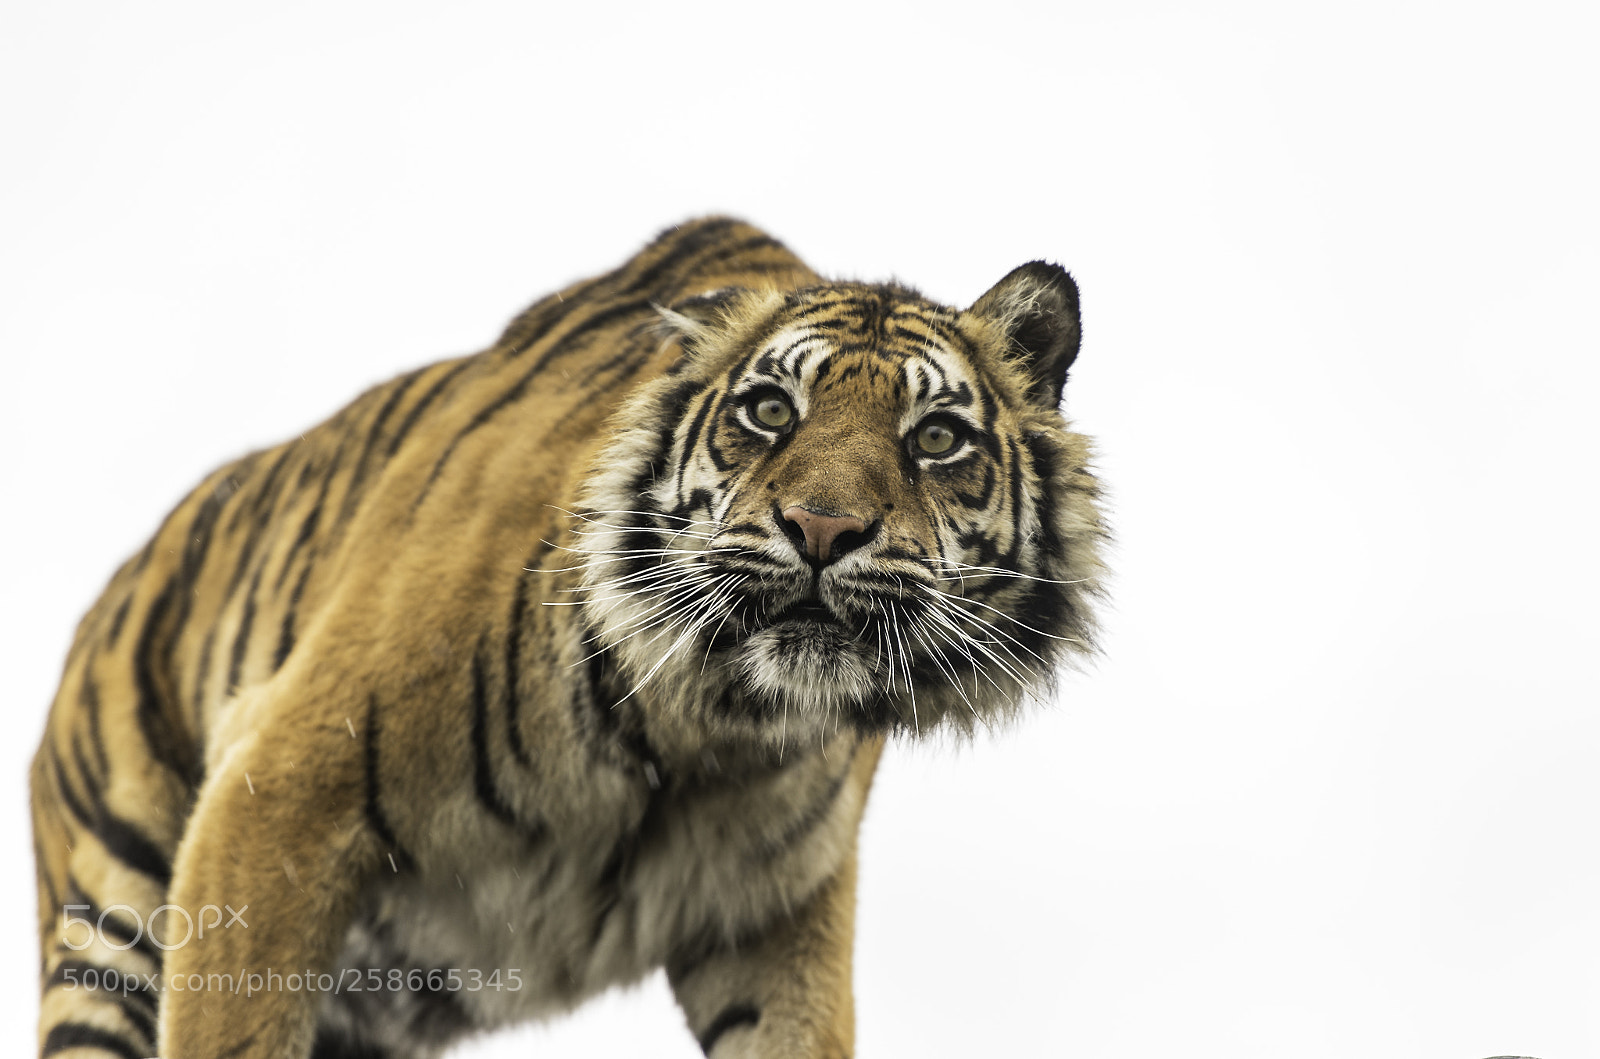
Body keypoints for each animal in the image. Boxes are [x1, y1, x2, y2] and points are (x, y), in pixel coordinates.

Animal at [29, 217, 1106, 1059]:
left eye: (936, 438)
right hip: (110, 932)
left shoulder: (774, 916)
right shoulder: (277, 793)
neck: (712, 718)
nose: (822, 529)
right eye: (769, 411)